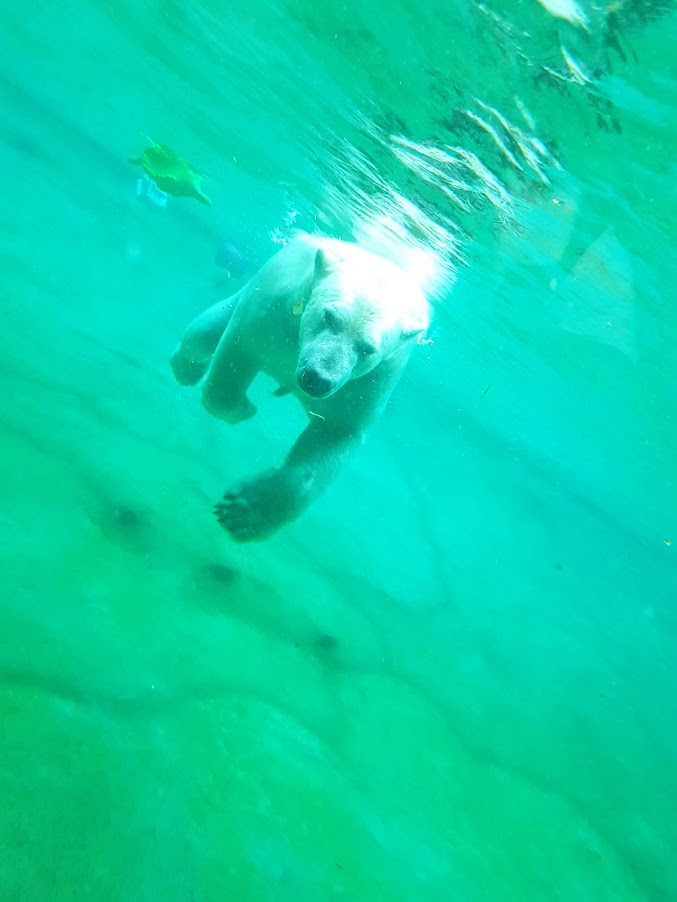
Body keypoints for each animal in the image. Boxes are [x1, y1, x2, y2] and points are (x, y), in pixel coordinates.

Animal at [170, 232, 430, 542]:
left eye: (367, 348)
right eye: (329, 316)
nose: (317, 379)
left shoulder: (370, 381)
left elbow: (333, 435)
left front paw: (243, 512)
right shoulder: (270, 310)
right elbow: (234, 360)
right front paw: (244, 409)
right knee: (206, 330)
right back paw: (186, 368)